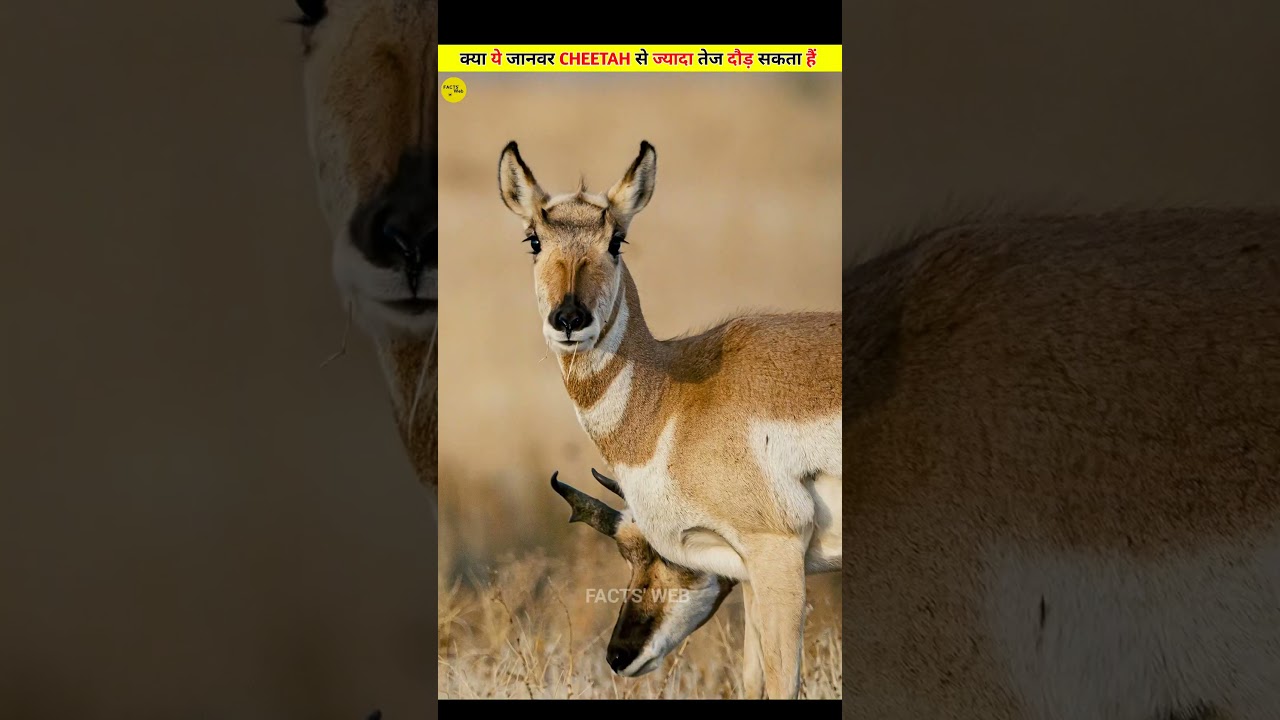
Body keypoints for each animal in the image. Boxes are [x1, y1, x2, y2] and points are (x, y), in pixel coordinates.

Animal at [497, 141, 842, 699]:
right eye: (534, 239)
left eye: (616, 239)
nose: (569, 319)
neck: (676, 398)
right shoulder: (749, 567)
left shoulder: (777, 552)